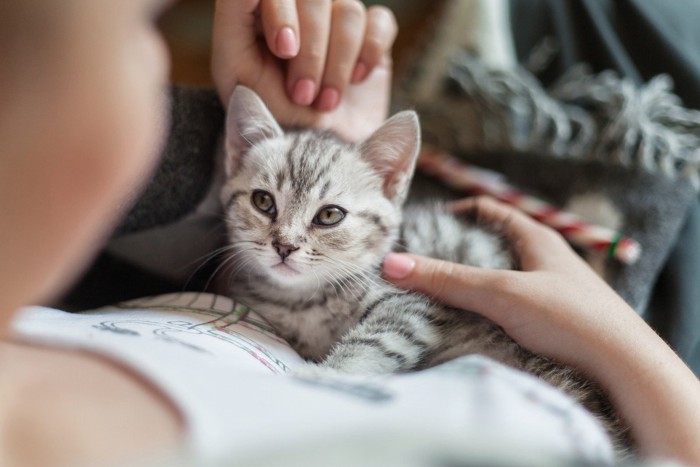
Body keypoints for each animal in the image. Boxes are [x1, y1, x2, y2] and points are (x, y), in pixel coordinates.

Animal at [221, 87, 632, 454]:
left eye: (329, 215)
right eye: (263, 202)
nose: (284, 246)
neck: (304, 297)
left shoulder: (411, 303)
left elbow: (373, 341)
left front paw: (325, 375)